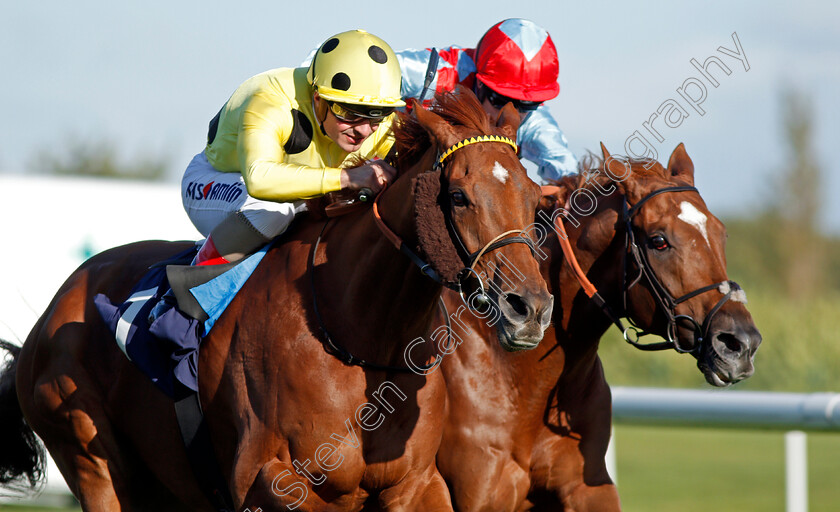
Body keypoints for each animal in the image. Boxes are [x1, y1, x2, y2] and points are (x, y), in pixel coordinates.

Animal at [3, 90, 556, 510]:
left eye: (535, 199)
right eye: (459, 196)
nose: (530, 309)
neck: (358, 337)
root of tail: (51, 313)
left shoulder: (416, 483)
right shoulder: (273, 478)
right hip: (91, 457)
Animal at [434, 144, 760, 512]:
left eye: (721, 233)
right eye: (659, 241)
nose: (741, 343)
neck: (520, 380)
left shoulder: (587, 484)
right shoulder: (476, 495)